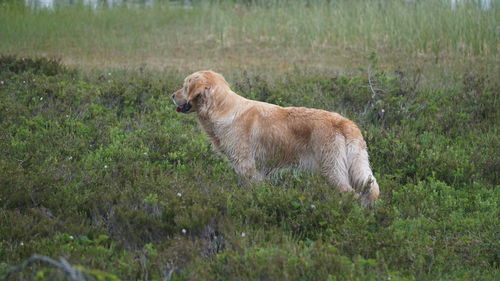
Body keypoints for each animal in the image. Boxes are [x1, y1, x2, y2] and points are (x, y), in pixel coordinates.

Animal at [172, 70, 378, 206]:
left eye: (185, 86)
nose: (172, 95)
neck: (221, 109)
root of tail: (345, 122)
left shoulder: (246, 166)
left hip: (332, 169)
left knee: (350, 194)